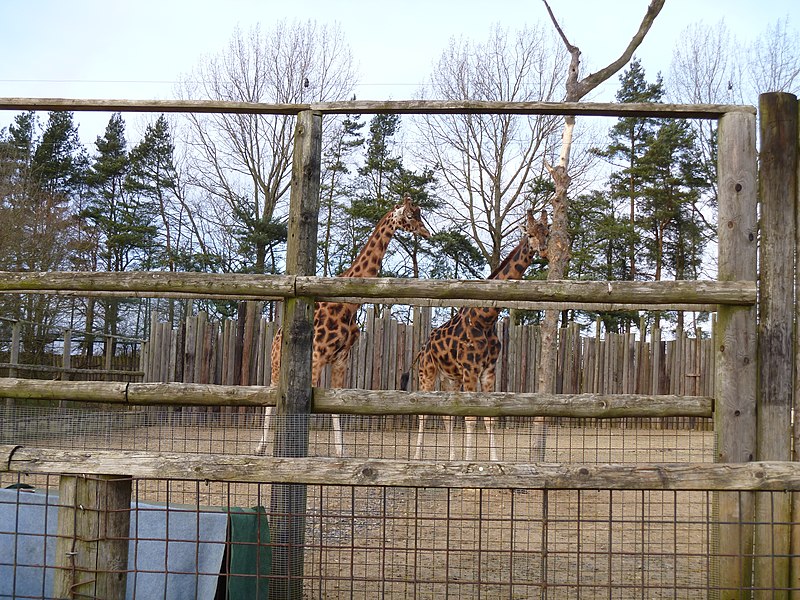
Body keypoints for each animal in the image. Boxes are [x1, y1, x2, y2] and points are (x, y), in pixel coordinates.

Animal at [256, 196, 432, 454]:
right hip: (276, 362)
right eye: (410, 215)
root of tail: (278, 334)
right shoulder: (317, 357)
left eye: (420, 214)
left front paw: (341, 453)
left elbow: (337, 406)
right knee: (270, 396)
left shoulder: (341, 358)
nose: (426, 232)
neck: (349, 306)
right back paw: (260, 447)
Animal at [406, 209, 552, 462]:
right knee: (423, 412)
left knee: (447, 415)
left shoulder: (488, 371)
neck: (485, 320)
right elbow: (471, 418)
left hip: (450, 378)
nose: (543, 250)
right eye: (530, 234)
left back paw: (452, 457)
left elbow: (489, 418)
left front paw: (492, 461)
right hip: (428, 373)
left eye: (547, 233)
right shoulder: (470, 370)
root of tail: (423, 347)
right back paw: (417, 458)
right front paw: (469, 461)